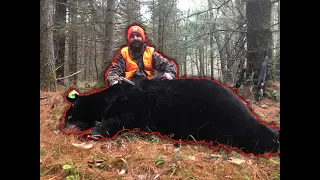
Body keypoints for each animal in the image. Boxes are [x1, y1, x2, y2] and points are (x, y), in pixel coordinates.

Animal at [60, 78, 280, 157]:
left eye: (69, 115)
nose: (61, 127)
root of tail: (241, 101)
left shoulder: (135, 108)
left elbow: (121, 119)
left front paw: (95, 132)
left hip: (227, 119)